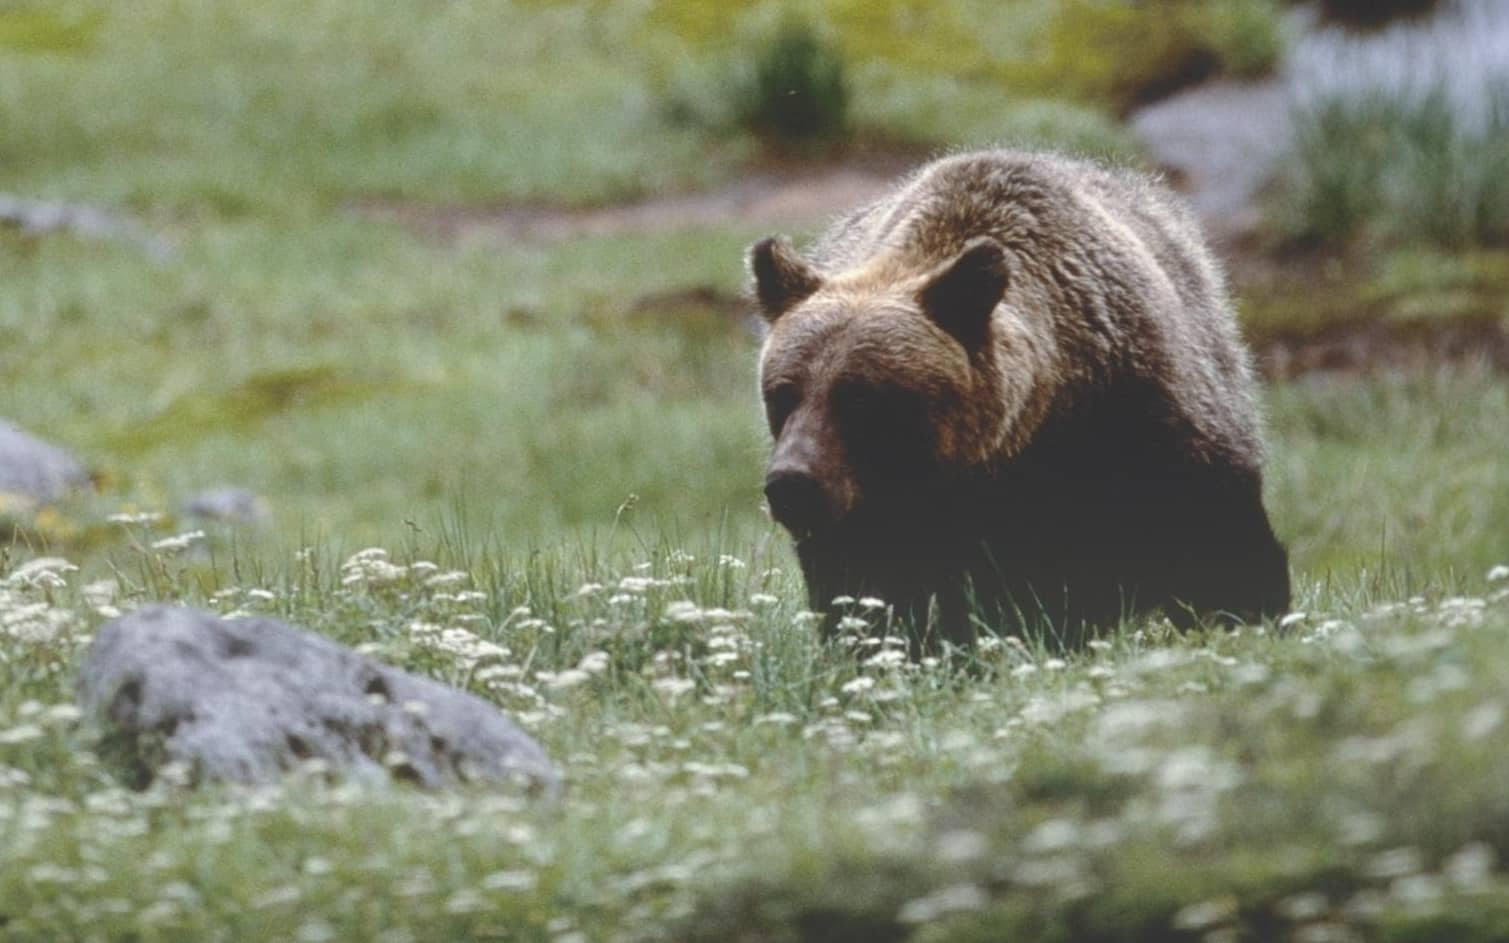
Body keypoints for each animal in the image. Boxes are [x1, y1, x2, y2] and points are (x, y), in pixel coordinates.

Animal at [748, 148, 1291, 645]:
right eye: (783, 393)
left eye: (860, 399)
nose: (792, 483)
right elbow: (867, 586)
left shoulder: (1141, 411)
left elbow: (1215, 532)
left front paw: (1247, 615)